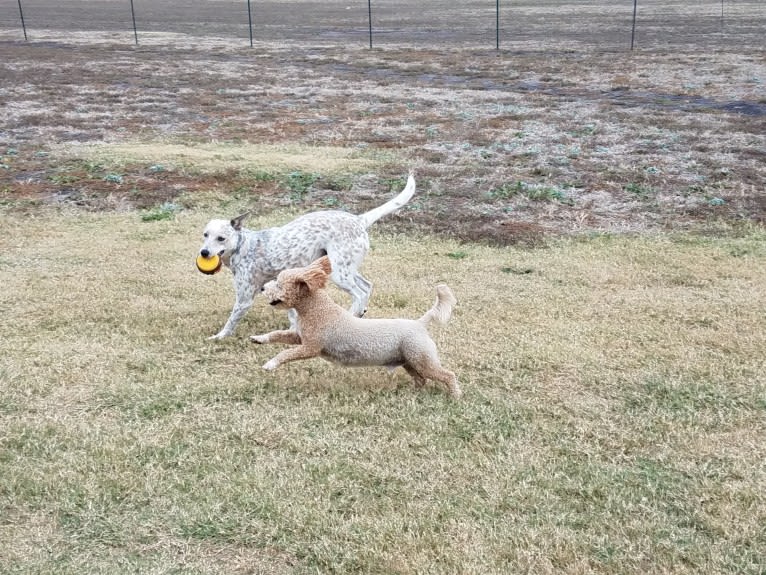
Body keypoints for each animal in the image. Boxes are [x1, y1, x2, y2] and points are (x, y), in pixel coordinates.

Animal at [198, 172, 414, 342]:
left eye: (221, 238)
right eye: (205, 234)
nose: (204, 253)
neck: (243, 246)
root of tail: (359, 219)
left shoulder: (244, 299)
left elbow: (231, 321)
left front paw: (218, 337)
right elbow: (293, 316)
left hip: (339, 274)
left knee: (359, 294)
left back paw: (351, 316)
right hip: (345, 268)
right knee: (367, 286)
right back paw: (358, 315)